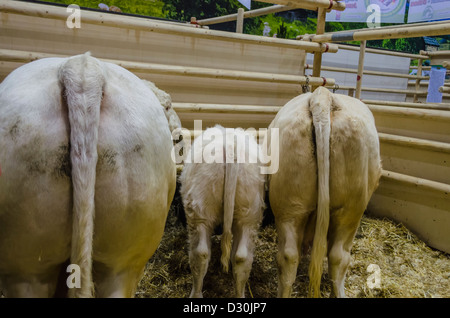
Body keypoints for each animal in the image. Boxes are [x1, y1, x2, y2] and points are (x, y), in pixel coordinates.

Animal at [178, 125, 266, 298]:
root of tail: (231, 144)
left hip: (200, 211)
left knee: (200, 254)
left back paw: (196, 294)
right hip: (249, 213)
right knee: (241, 258)